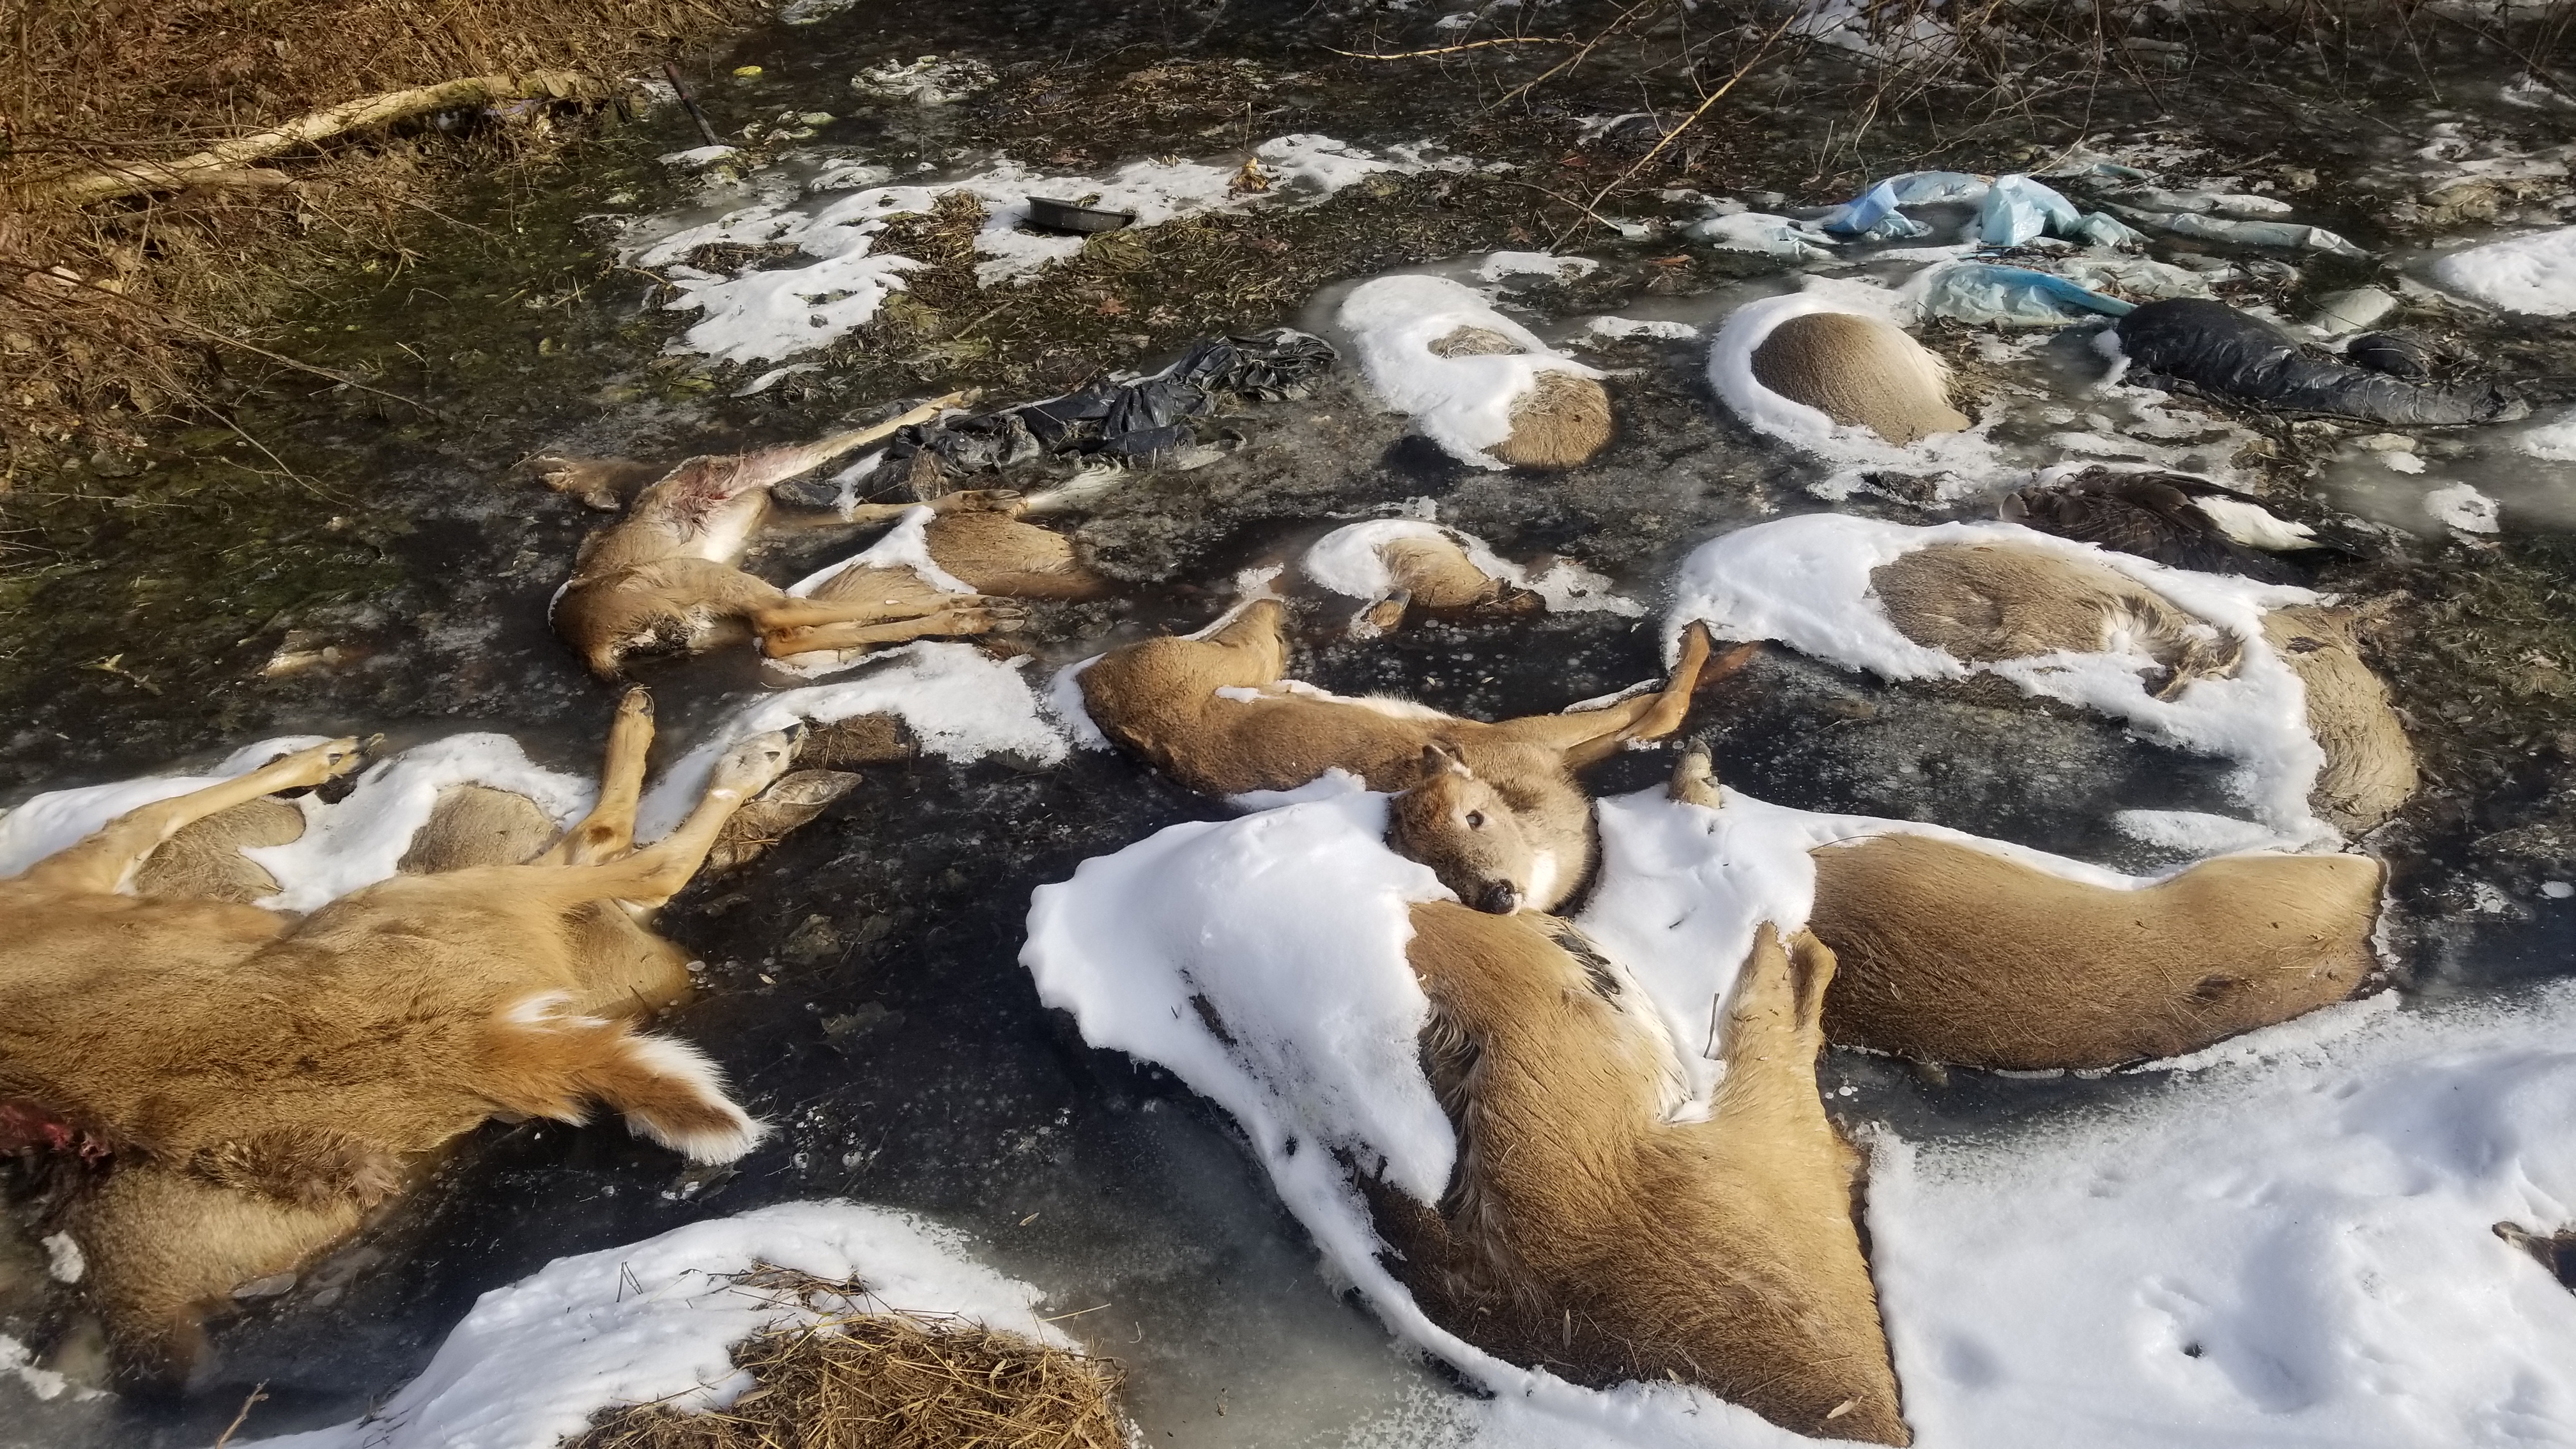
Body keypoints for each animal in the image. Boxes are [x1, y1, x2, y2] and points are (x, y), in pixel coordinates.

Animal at [1, 691, 796, 1389]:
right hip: (447, 893)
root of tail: (466, 1040)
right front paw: (319, 756)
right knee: (624, 856)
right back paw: (741, 750)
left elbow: (157, 810)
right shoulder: (72, 869)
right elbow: (150, 810)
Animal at [1077, 596, 1738, 913]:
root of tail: (1099, 698)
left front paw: (1705, 644)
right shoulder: (1508, 737)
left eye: (1475, 817)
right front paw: (1704, 643)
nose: (1497, 896)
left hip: (1228, 662)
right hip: (1222, 660)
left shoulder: (1521, 743)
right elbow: (1657, 711)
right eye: (1428, 867)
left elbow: (1642, 714)